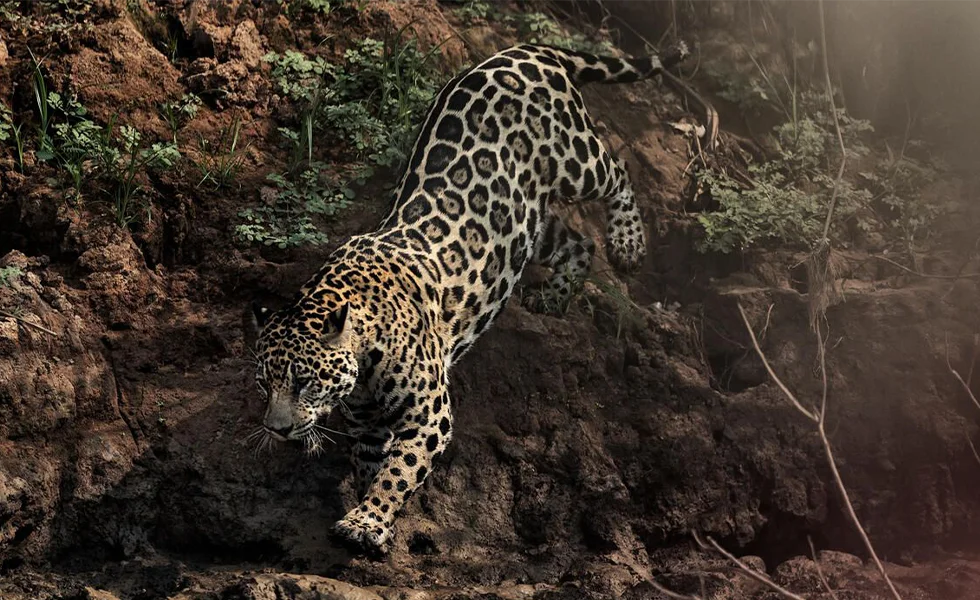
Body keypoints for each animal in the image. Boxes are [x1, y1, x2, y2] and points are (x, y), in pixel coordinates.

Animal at [248, 41, 691, 556]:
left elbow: (398, 472)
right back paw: (555, 297)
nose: (276, 429)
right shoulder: (368, 426)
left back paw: (628, 244)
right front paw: (371, 517)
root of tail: (521, 51)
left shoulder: (430, 416)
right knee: (578, 242)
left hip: (576, 162)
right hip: (522, 225)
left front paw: (367, 521)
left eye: (303, 382)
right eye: (264, 384)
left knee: (616, 171)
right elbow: (372, 468)